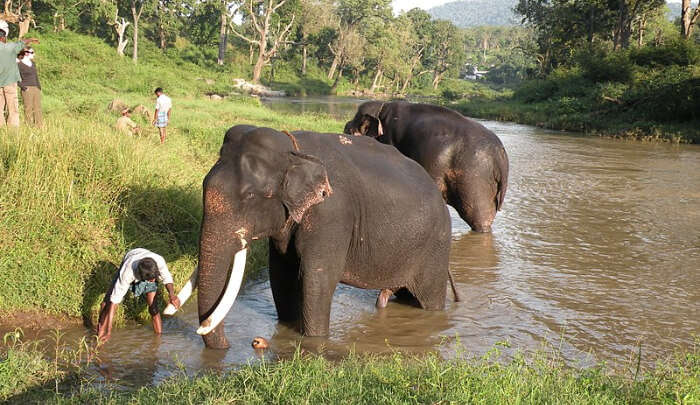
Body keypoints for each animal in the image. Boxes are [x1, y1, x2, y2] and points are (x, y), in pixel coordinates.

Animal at [170, 125, 454, 348]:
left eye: (250, 196)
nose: (230, 345)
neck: (294, 150)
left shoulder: (332, 214)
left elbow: (317, 277)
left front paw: (314, 342)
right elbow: (280, 273)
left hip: (436, 248)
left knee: (428, 299)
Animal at [344, 101, 508, 232]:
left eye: (349, 131)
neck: (381, 108)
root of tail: (501, 156)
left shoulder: (388, 139)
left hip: (475, 178)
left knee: (477, 216)